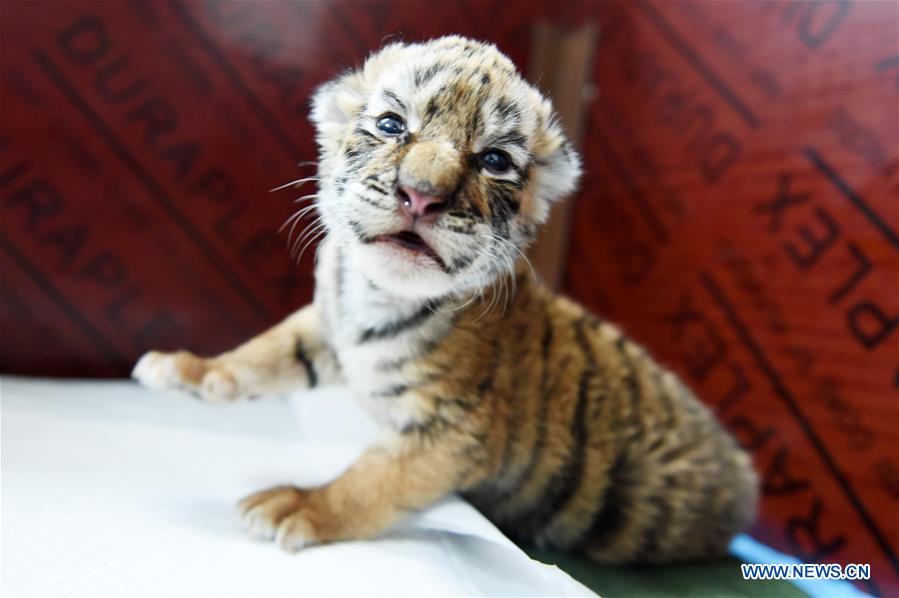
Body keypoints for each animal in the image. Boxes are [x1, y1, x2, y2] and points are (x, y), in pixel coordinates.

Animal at [133, 35, 758, 564]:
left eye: (494, 160)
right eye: (391, 125)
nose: (420, 195)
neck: (377, 294)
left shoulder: (454, 431)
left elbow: (371, 482)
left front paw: (298, 506)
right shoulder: (326, 326)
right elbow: (265, 351)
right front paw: (193, 370)